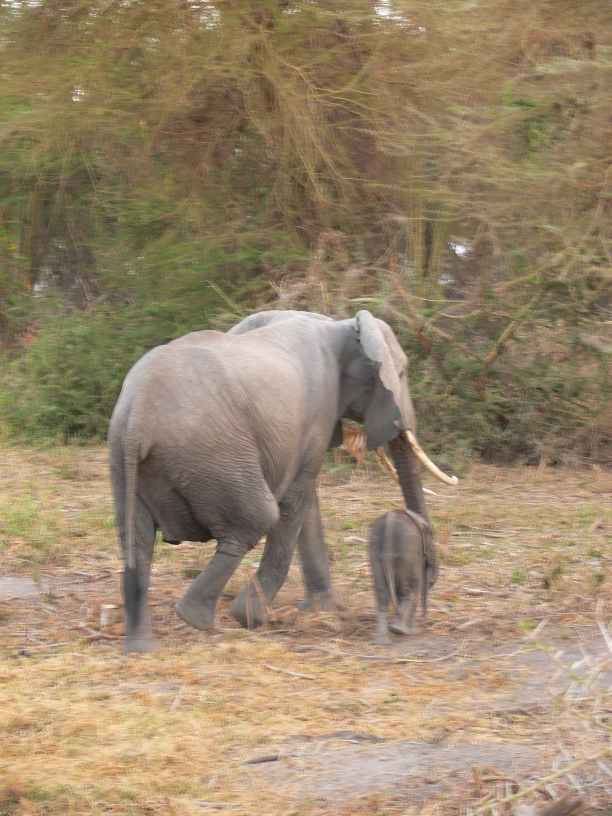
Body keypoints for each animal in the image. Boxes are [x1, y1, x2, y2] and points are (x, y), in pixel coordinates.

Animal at [369, 508, 438, 645]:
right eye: (432, 544)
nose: (423, 616)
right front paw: (413, 632)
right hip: (407, 550)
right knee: (412, 588)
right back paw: (400, 630)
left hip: (375, 550)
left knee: (382, 594)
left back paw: (383, 641)